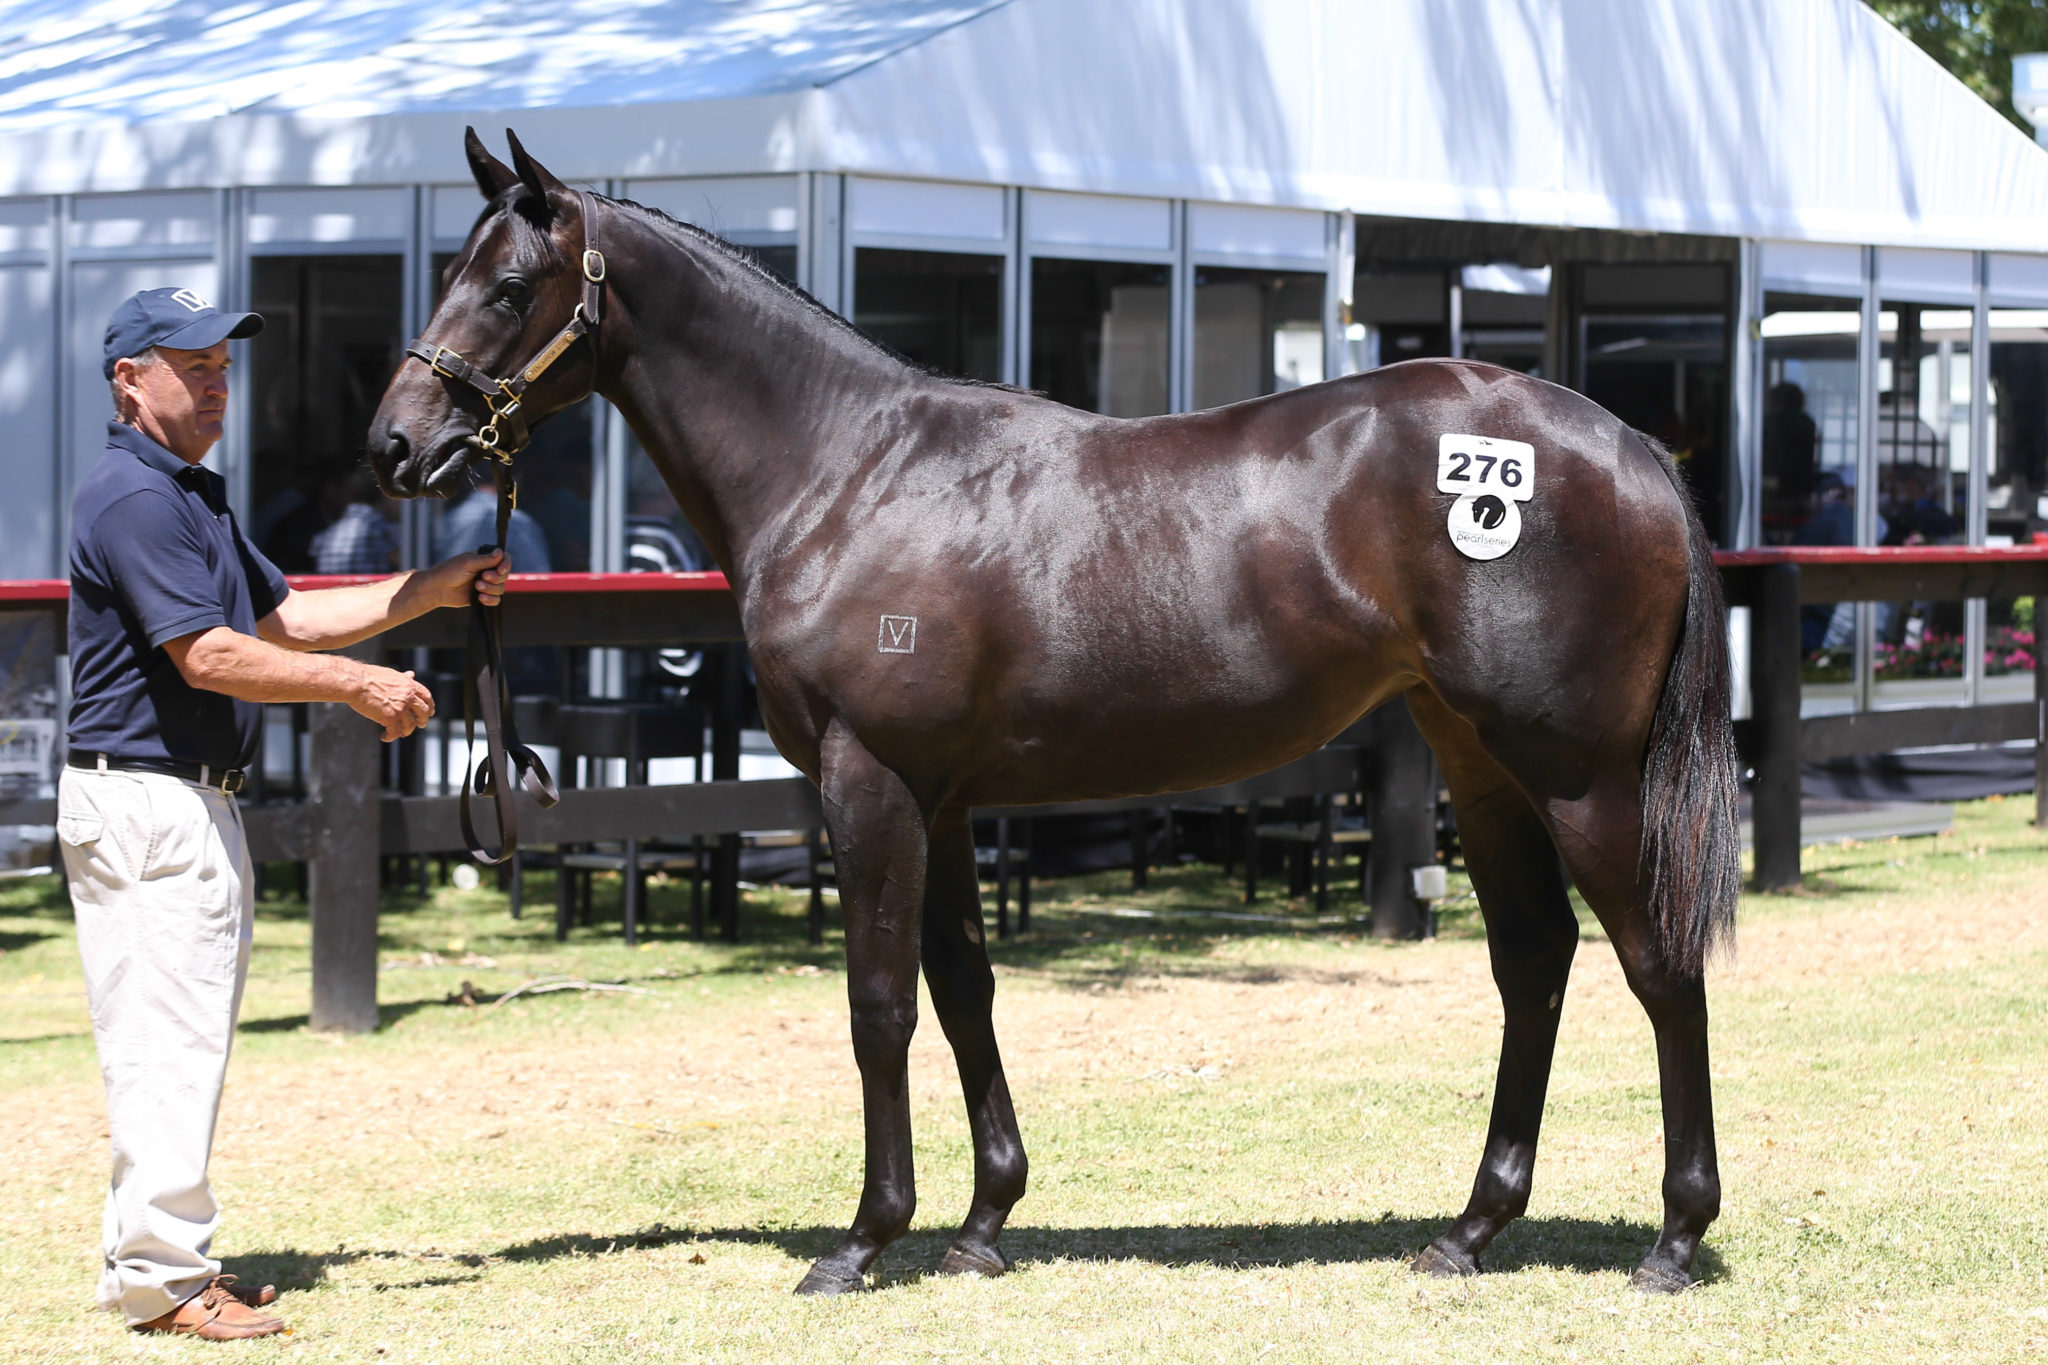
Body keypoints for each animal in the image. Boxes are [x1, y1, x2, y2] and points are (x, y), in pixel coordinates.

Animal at [372, 130, 1744, 1301]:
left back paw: (1673, 1239)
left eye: (507, 287)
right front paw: (982, 1222)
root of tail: (1630, 450)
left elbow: (878, 1004)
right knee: (1534, 962)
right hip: (1478, 763)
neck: (844, 473)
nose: (394, 445)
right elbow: (963, 990)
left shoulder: (868, 786)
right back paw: (1468, 1231)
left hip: (1577, 777)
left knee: (1658, 966)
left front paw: (861, 1241)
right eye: (451, 272)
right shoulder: (938, 801)